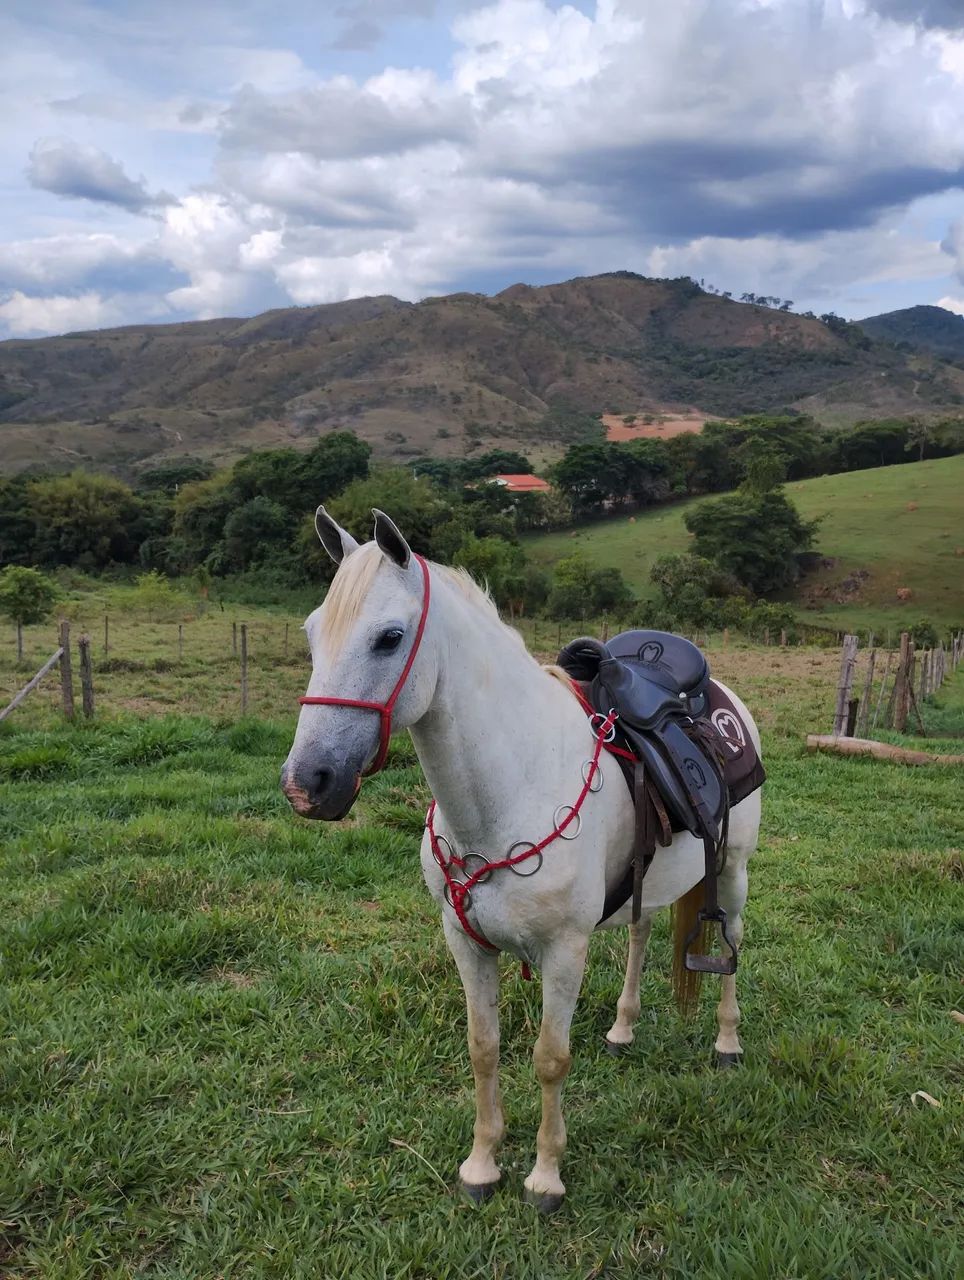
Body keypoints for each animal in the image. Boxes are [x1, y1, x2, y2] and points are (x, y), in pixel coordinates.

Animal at [281, 507, 762, 1212]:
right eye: (314, 634)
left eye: (389, 638)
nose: (306, 783)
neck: (511, 788)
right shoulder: (465, 941)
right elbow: (484, 1048)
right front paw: (482, 1165)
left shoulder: (564, 950)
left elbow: (549, 1058)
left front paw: (545, 1176)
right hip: (650, 880)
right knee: (643, 933)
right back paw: (623, 1029)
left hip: (731, 870)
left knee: (730, 942)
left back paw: (728, 1042)